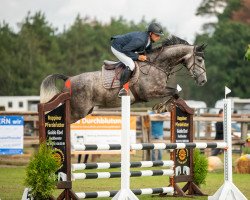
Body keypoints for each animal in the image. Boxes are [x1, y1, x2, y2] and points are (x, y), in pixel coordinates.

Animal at [39, 36, 207, 123]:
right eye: (199, 60)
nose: (203, 81)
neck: (157, 65)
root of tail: (69, 78)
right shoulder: (151, 92)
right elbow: (174, 91)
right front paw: (161, 107)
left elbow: (176, 93)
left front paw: (163, 107)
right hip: (77, 111)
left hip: (85, 110)